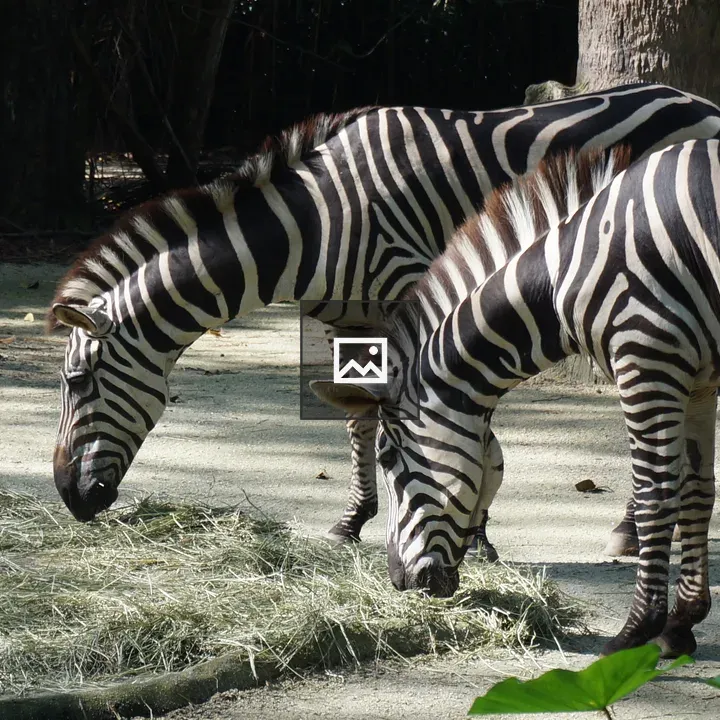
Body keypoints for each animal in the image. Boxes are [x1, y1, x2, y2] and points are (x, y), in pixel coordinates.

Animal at [50, 85, 720, 555]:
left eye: (78, 384)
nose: (70, 499)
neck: (318, 223)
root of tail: (698, 99)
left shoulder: (418, 291)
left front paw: (477, 529)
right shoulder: (345, 315)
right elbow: (359, 419)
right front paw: (352, 521)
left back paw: (627, 530)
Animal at [310, 139, 720, 658]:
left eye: (387, 459)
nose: (400, 582)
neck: (563, 277)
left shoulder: (647, 359)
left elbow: (657, 497)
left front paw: (636, 633)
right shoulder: (699, 381)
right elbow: (696, 493)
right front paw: (682, 624)